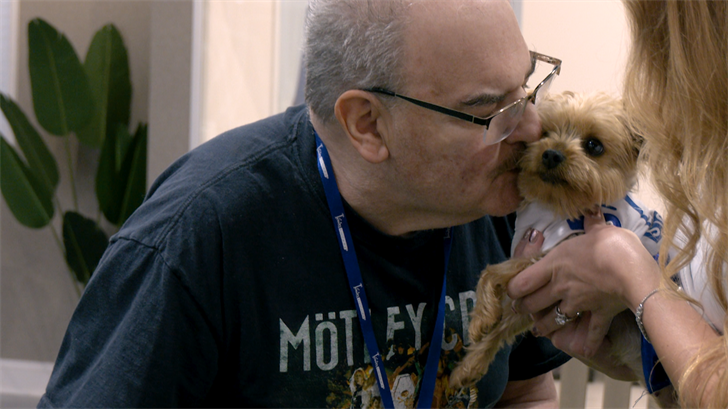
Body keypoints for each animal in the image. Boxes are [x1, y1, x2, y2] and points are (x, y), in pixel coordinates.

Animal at [450, 91, 676, 406]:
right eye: (543, 134)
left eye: (594, 146)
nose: (551, 153)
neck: (555, 205)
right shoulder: (532, 299)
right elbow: (504, 325)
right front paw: (469, 367)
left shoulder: (557, 254)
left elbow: (492, 270)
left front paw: (480, 319)